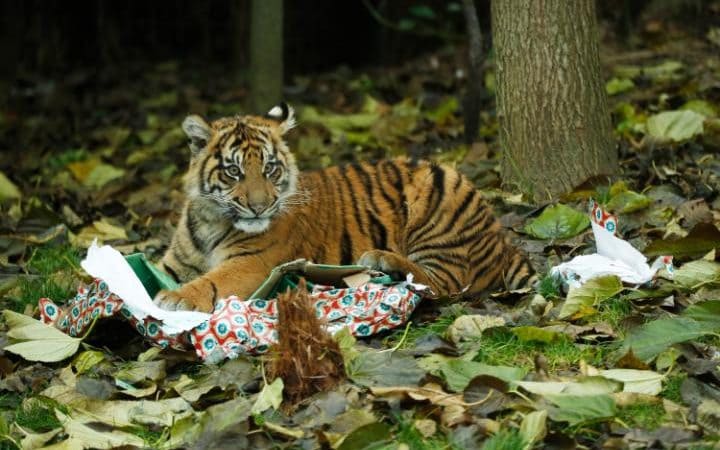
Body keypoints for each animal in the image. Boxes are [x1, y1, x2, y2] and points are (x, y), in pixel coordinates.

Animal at [153, 103, 535, 312]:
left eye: (270, 168)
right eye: (233, 171)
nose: (261, 208)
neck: (212, 220)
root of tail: (501, 239)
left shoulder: (252, 263)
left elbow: (212, 282)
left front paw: (175, 299)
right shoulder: (175, 263)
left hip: (440, 195)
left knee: (446, 282)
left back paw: (383, 260)